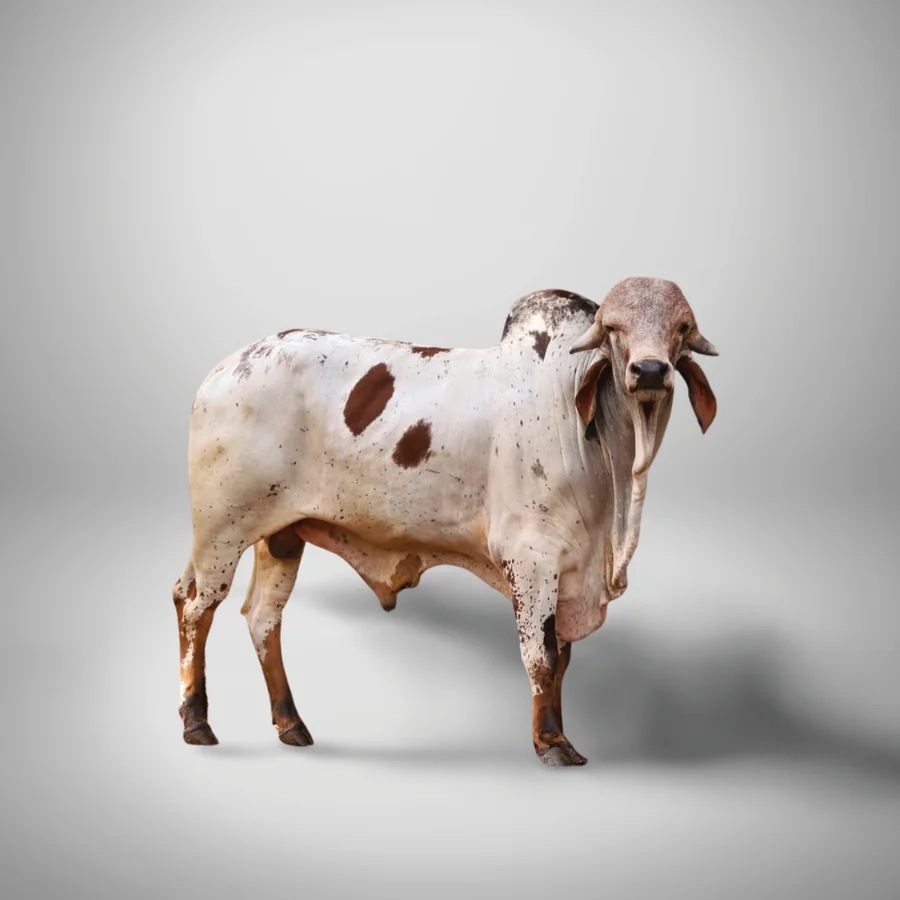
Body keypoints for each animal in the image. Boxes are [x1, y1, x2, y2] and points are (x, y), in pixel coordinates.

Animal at [172, 277, 718, 766]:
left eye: (680, 329)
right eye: (614, 330)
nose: (650, 371)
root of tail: (223, 371)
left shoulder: (568, 569)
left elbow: (561, 661)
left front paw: (557, 735)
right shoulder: (532, 560)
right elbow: (541, 657)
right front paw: (551, 744)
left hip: (281, 534)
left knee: (262, 617)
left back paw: (291, 724)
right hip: (222, 529)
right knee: (196, 605)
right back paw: (197, 722)